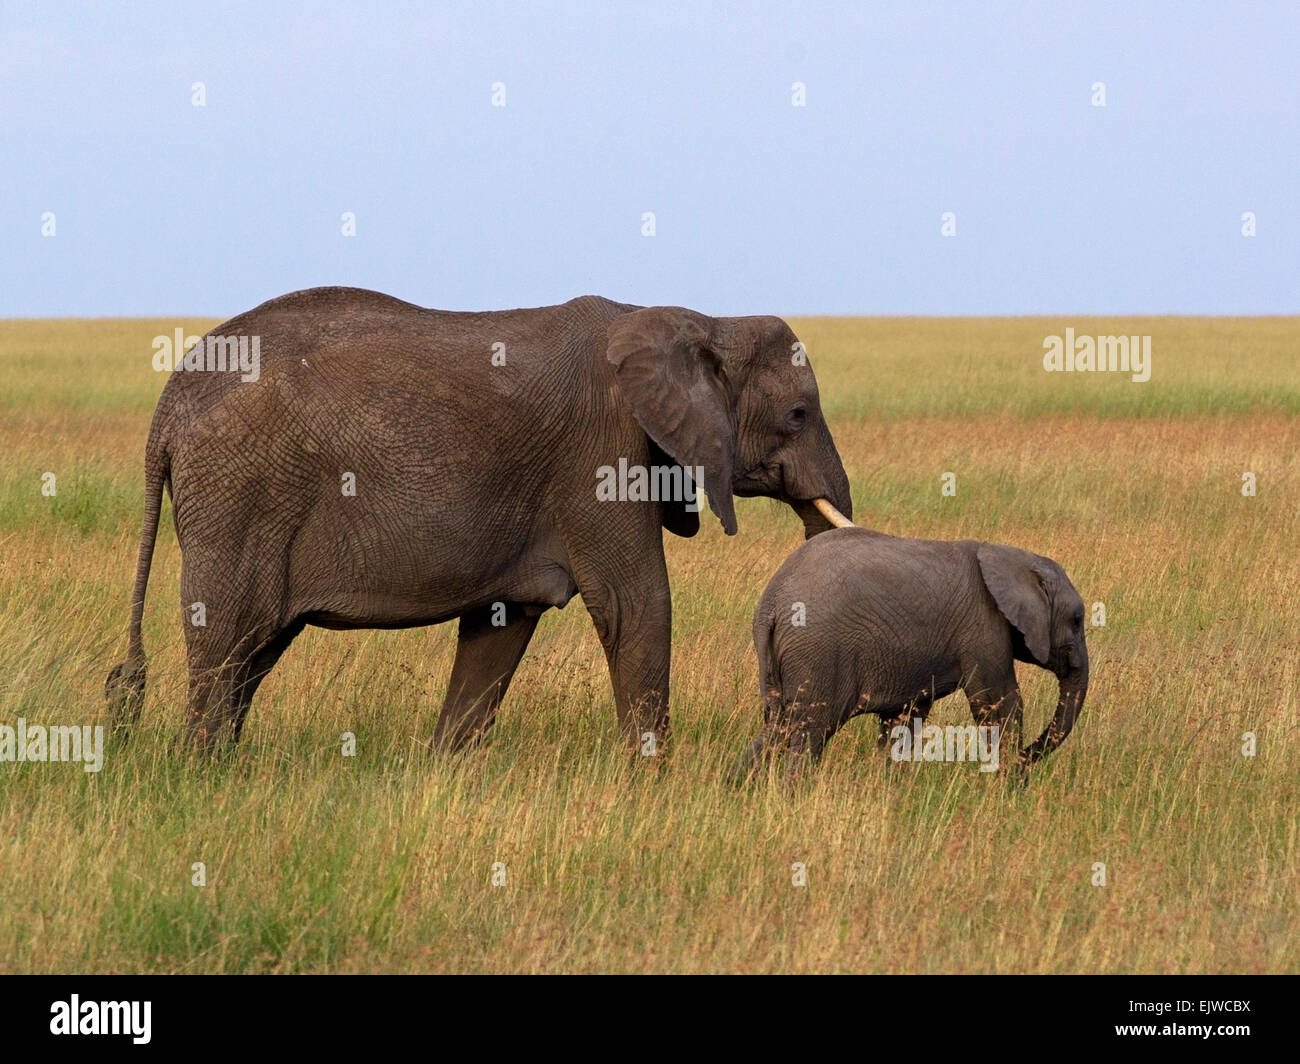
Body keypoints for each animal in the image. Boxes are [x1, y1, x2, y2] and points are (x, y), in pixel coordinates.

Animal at [105, 286, 854, 755]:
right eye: (797, 415)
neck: (699, 320)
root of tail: (167, 408)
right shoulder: (599, 455)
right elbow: (636, 604)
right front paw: (653, 786)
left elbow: (500, 626)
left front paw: (443, 770)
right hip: (239, 498)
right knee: (227, 646)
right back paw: (200, 773)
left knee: (251, 656)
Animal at [734, 527, 1089, 781]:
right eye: (1077, 620)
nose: (1025, 762)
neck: (1010, 556)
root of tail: (772, 604)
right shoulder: (983, 625)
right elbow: (1000, 703)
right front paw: (1007, 787)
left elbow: (905, 718)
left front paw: (888, 789)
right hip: (817, 653)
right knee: (810, 731)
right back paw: (793, 791)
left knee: (778, 726)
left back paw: (741, 785)